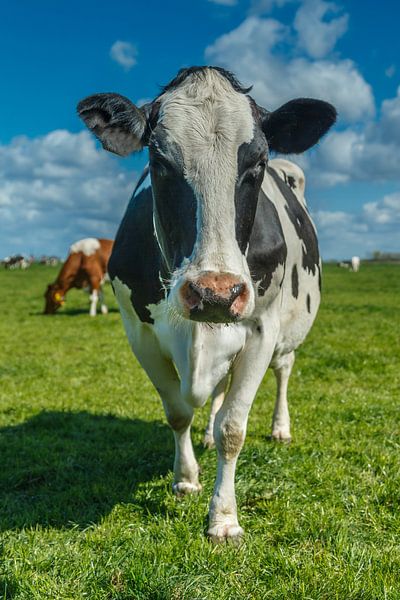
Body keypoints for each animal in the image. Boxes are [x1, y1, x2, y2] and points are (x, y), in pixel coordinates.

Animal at [77, 67, 334, 544]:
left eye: (258, 162)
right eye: (158, 161)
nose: (216, 292)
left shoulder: (261, 328)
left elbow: (233, 426)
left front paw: (224, 518)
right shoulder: (138, 331)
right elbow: (178, 412)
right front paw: (186, 479)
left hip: (286, 332)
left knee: (283, 371)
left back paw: (280, 428)